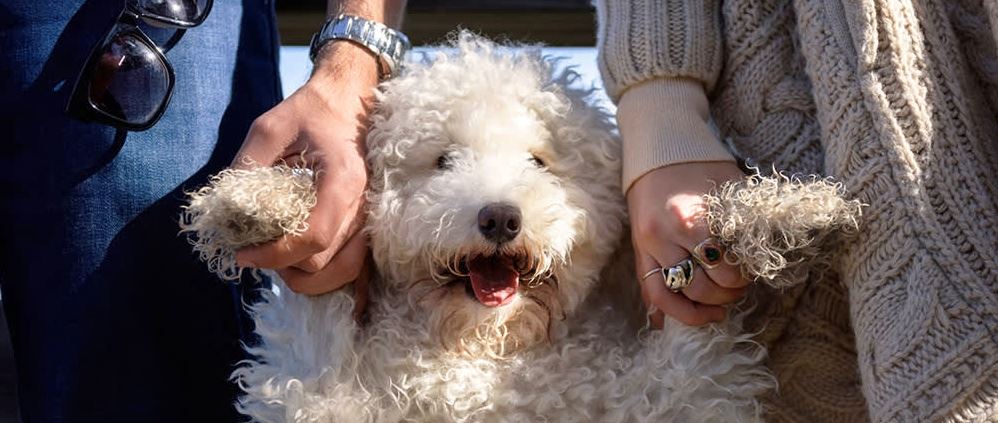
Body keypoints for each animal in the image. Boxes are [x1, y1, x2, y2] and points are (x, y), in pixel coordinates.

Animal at [184, 31, 864, 422]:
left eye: (539, 161)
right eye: (442, 161)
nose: (500, 216)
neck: (489, 359)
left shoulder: (682, 395)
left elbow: (696, 335)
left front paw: (778, 218)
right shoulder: (315, 395)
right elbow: (314, 313)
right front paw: (259, 201)